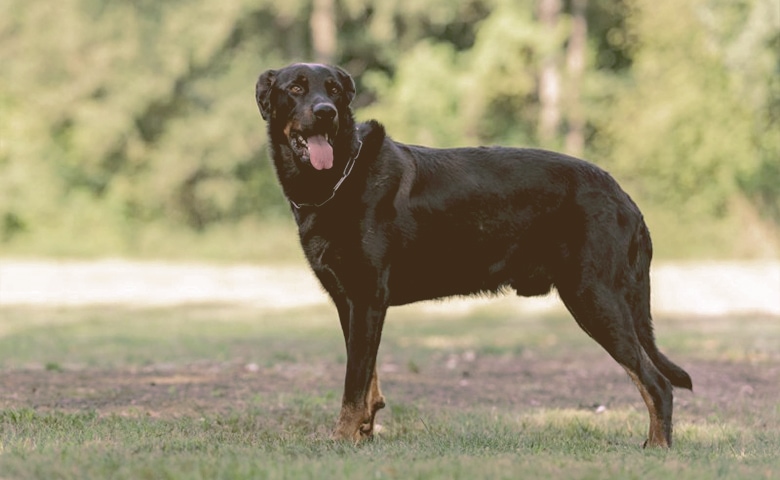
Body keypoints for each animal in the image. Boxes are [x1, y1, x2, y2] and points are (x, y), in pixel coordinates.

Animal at [253, 62, 692, 446]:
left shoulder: (366, 298)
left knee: (657, 383)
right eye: (297, 88)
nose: (326, 113)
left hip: (594, 298)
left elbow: (353, 383)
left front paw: (341, 439)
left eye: (334, 91)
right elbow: (367, 378)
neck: (339, 176)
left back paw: (657, 447)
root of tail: (625, 198)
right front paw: (363, 432)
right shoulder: (351, 302)